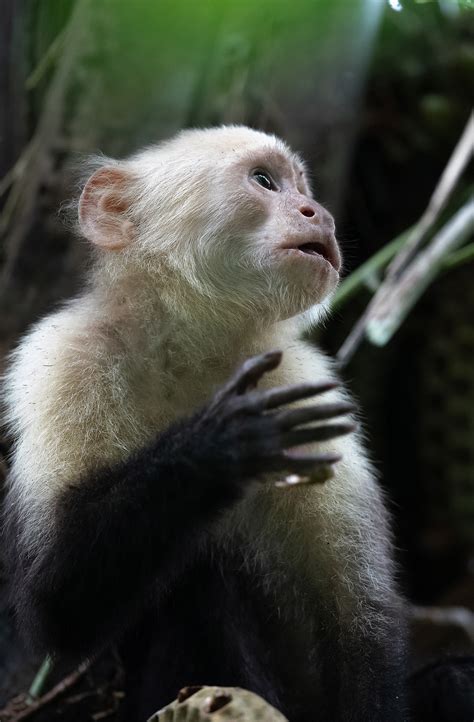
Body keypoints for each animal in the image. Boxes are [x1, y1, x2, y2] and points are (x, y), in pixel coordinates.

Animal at [0, 126, 408, 716]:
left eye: (301, 188)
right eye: (265, 181)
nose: (322, 215)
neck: (191, 349)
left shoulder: (303, 374)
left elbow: (361, 618)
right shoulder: (61, 361)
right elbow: (52, 609)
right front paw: (219, 445)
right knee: (200, 581)